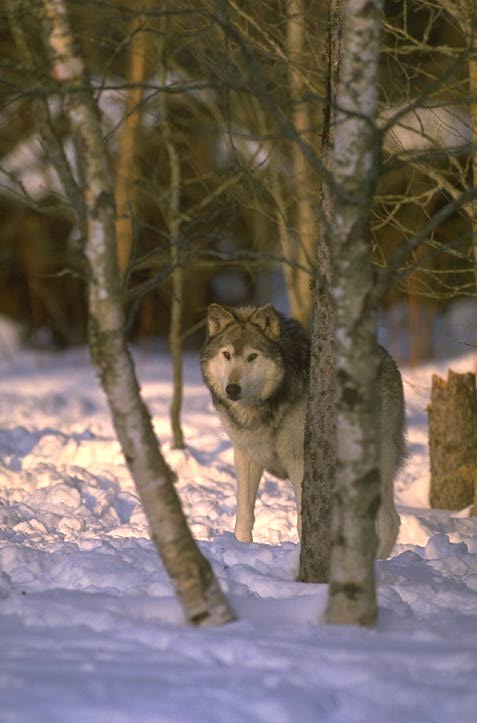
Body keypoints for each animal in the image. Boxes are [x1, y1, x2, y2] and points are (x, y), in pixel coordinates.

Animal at [200, 303, 405, 558]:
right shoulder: (247, 457)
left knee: (390, 520)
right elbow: (244, 517)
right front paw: (242, 549)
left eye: (252, 356)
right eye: (227, 354)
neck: (262, 410)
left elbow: (302, 524)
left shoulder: (299, 461)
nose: (232, 389)